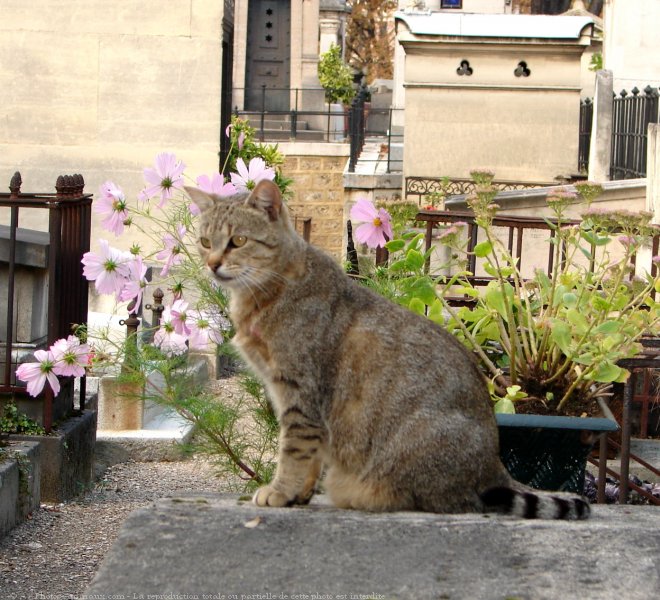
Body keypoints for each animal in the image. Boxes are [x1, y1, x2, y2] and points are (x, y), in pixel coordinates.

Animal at [187, 179, 592, 520]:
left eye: (238, 241)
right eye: (205, 242)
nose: (212, 263)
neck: (268, 289)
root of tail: (494, 463)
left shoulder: (299, 392)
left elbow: (294, 451)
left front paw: (280, 490)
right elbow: (311, 455)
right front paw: (298, 494)